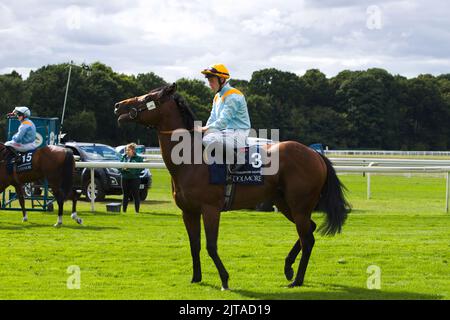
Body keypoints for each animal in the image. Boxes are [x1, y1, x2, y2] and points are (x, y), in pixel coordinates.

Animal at [114, 84, 350, 288]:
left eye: (148, 97)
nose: (118, 105)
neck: (191, 162)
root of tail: (316, 154)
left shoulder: (210, 209)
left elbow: (211, 246)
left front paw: (225, 279)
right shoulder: (188, 212)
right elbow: (194, 245)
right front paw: (196, 277)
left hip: (299, 205)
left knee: (307, 238)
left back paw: (297, 280)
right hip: (284, 203)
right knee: (309, 229)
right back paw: (288, 267)